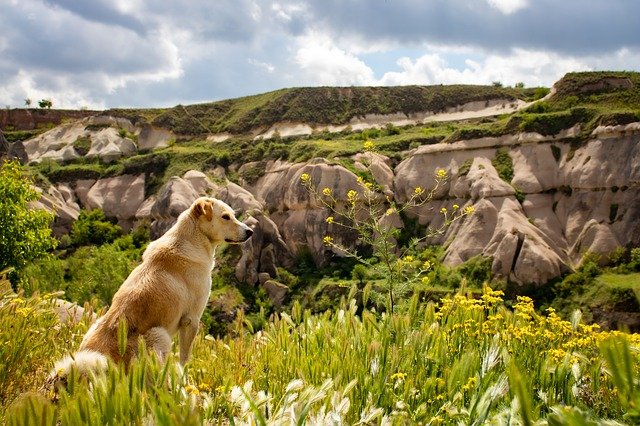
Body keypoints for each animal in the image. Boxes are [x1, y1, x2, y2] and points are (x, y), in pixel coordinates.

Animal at [45, 196, 252, 390]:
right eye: (225, 217)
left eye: (233, 215)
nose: (250, 231)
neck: (192, 238)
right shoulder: (191, 320)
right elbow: (185, 359)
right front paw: (185, 381)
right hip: (159, 334)